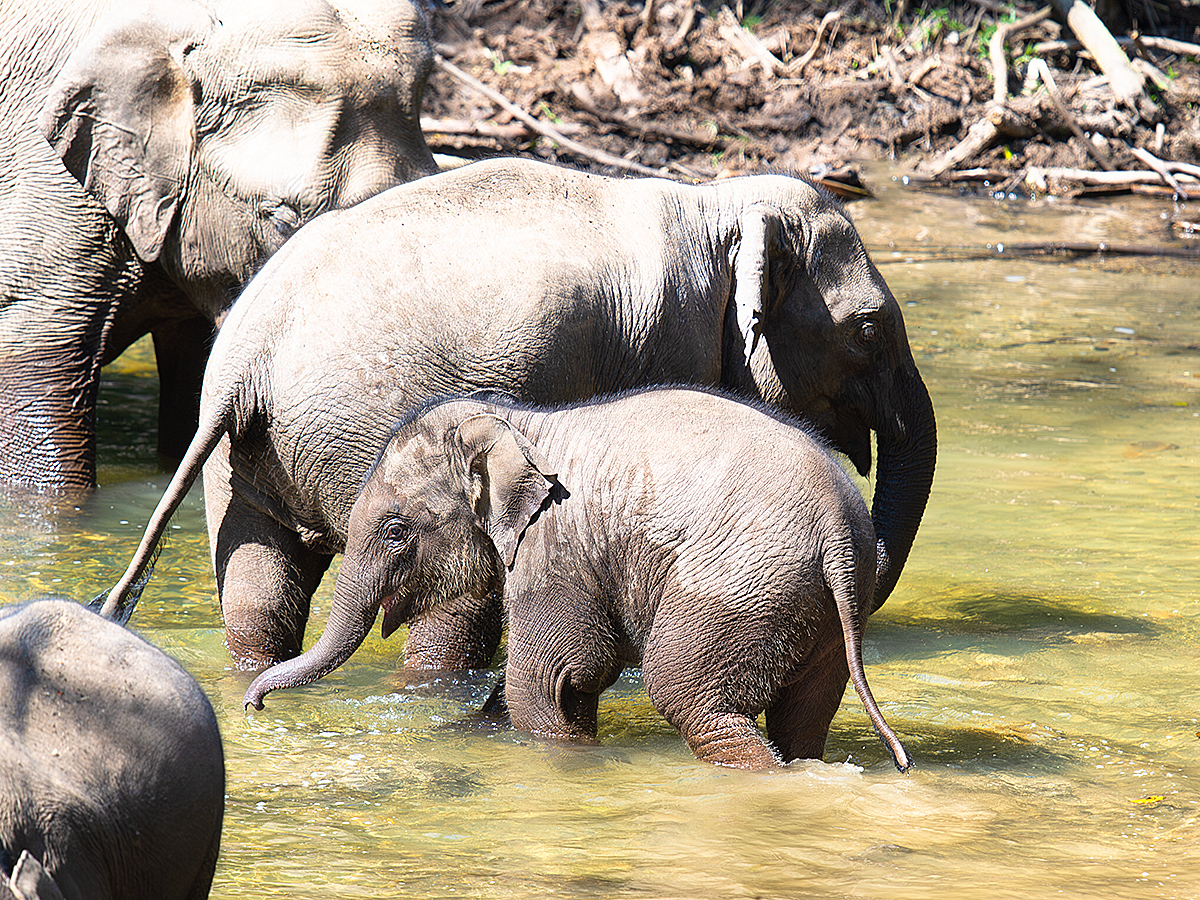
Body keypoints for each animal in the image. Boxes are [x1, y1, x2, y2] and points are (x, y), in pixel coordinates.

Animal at [103, 158, 940, 672]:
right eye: (869, 330)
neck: (714, 203)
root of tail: (249, 357)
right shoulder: (664, 341)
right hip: (370, 436)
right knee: (454, 591)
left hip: (241, 458)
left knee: (258, 584)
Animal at [246, 388, 916, 777]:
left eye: (393, 528)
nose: (253, 705)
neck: (516, 422)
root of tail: (838, 530)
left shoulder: (554, 548)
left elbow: (549, 679)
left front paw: (566, 761)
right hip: (823, 612)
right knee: (805, 714)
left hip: (736, 591)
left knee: (690, 697)